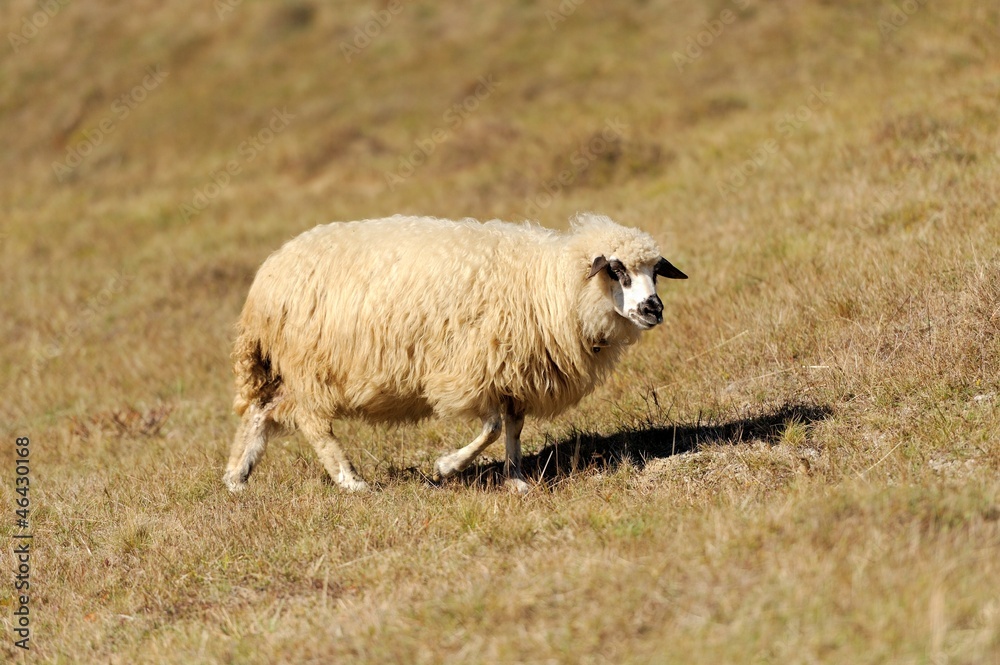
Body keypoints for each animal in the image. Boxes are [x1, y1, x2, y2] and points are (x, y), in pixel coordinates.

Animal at [223, 213, 687, 493]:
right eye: (617, 270)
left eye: (655, 272)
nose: (654, 309)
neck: (550, 284)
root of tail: (267, 274)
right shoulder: (475, 369)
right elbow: (492, 429)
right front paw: (447, 466)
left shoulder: (515, 374)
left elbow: (513, 429)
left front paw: (517, 480)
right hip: (310, 366)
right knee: (313, 423)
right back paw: (351, 481)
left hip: (286, 369)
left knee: (261, 412)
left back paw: (236, 478)